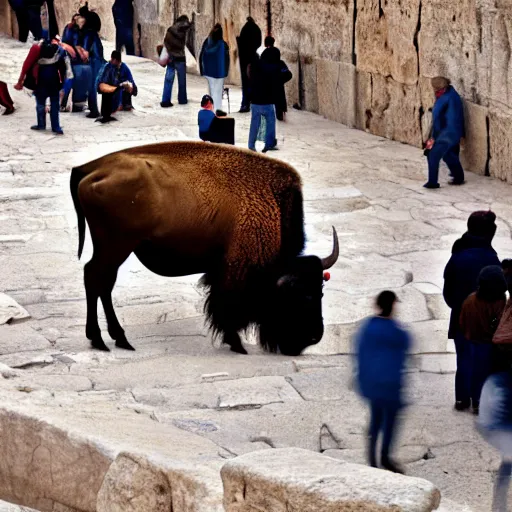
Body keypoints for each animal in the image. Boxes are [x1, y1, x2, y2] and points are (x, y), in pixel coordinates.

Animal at [69, 141, 340, 356]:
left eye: (320, 291)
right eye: (300, 295)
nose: (313, 337)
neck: (269, 206)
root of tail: (90, 168)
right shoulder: (233, 271)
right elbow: (225, 309)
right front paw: (237, 345)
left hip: (114, 249)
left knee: (102, 283)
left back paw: (116, 339)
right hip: (116, 246)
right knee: (95, 278)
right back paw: (103, 340)